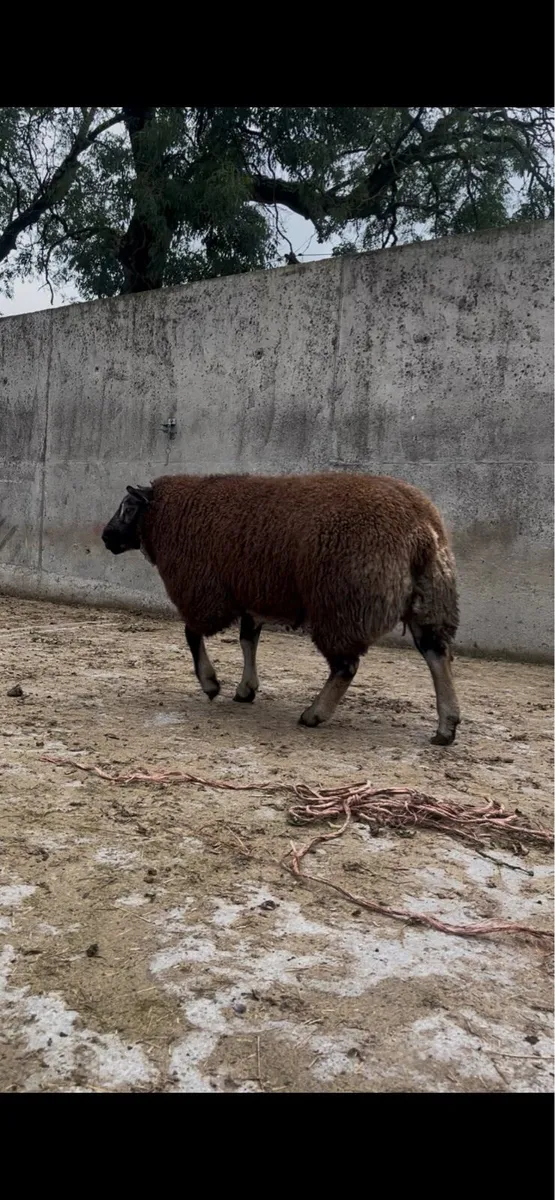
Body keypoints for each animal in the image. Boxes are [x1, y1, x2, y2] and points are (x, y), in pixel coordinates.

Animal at [101, 472, 461, 745]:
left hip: (341, 603)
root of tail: (421, 529)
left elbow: (192, 634)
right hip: (431, 598)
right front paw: (246, 689)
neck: (167, 516)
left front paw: (211, 683)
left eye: (128, 507)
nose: (105, 537)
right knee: (436, 653)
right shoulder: (251, 593)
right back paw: (447, 725)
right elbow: (248, 640)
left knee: (346, 666)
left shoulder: (205, 592)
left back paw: (314, 714)